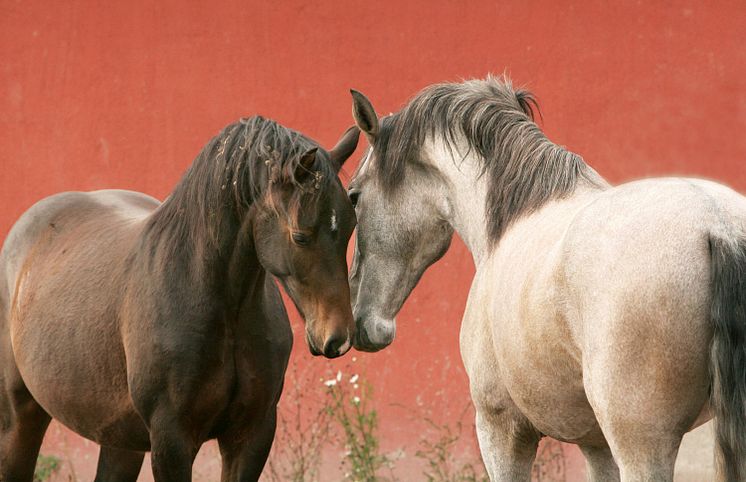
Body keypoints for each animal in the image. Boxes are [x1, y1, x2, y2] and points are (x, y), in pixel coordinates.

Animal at [0, 116, 358, 482]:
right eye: (300, 236)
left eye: (350, 225)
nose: (339, 337)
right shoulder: (172, 441)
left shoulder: (251, 435)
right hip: (18, 420)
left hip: (120, 440)